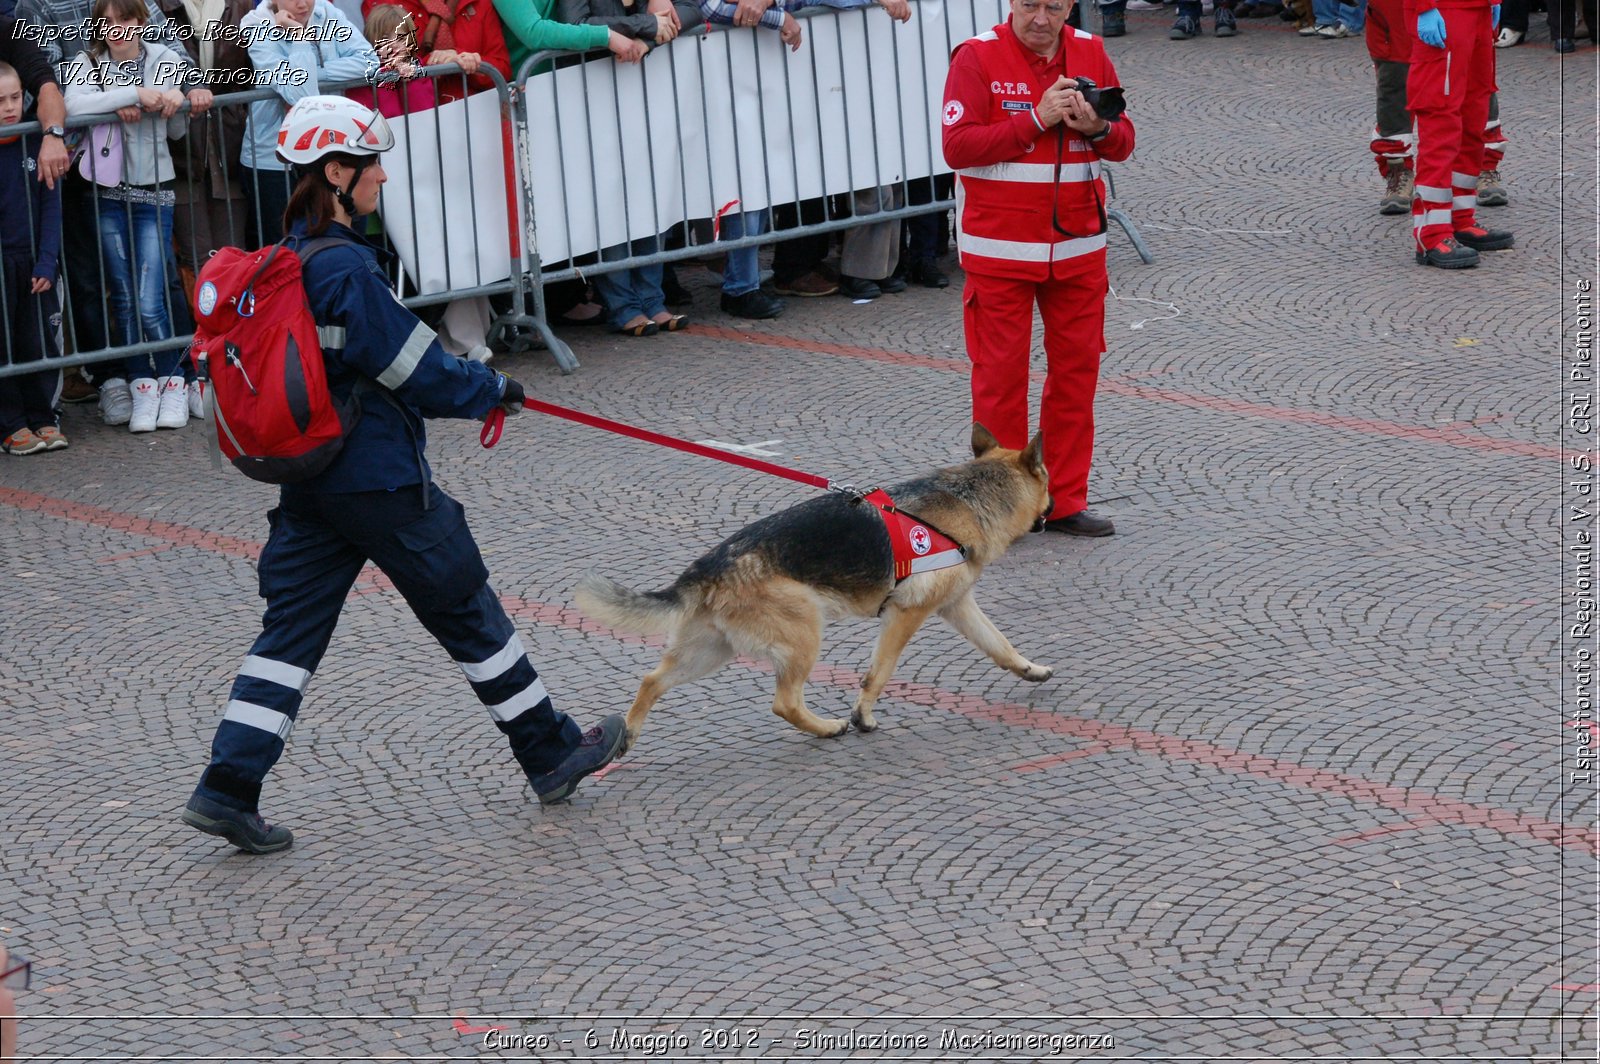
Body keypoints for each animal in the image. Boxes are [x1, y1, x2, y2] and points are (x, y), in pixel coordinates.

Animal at [579, 419, 1062, 752]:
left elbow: (1000, 645)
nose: (1056, 506)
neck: (971, 498)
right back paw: (828, 727)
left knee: (651, 680)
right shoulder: (905, 616)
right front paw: (863, 716)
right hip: (803, 635)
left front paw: (1031, 669)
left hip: (711, 651)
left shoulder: (957, 606)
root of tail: (708, 566)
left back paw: (629, 732)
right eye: (1049, 481)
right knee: (785, 702)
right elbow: (878, 674)